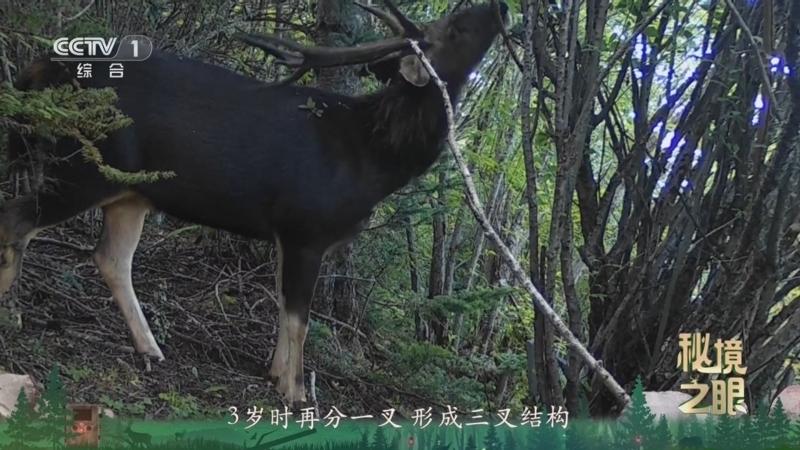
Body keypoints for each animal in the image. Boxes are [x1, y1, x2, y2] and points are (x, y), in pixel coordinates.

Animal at [1, 0, 510, 403]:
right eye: (455, 27)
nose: (501, 6)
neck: (372, 158)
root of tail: (43, 68)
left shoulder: (287, 232)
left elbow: (283, 307)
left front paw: (274, 373)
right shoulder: (306, 225)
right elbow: (299, 317)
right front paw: (296, 392)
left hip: (130, 192)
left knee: (110, 257)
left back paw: (151, 348)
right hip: (84, 166)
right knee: (17, 219)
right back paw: (14, 314)